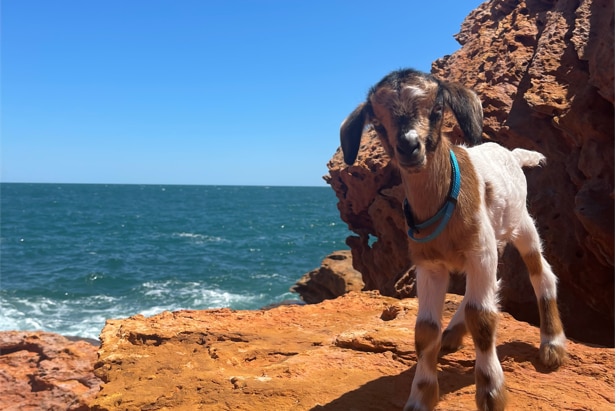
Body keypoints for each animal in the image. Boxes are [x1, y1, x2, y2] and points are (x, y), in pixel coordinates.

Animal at [340, 69, 564, 410]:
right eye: (376, 123)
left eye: (436, 110)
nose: (409, 146)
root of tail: (513, 154)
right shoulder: (429, 264)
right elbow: (425, 330)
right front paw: (420, 397)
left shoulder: (479, 251)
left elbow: (482, 318)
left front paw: (491, 392)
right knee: (490, 287)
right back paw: (453, 333)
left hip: (519, 222)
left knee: (541, 273)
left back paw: (551, 344)